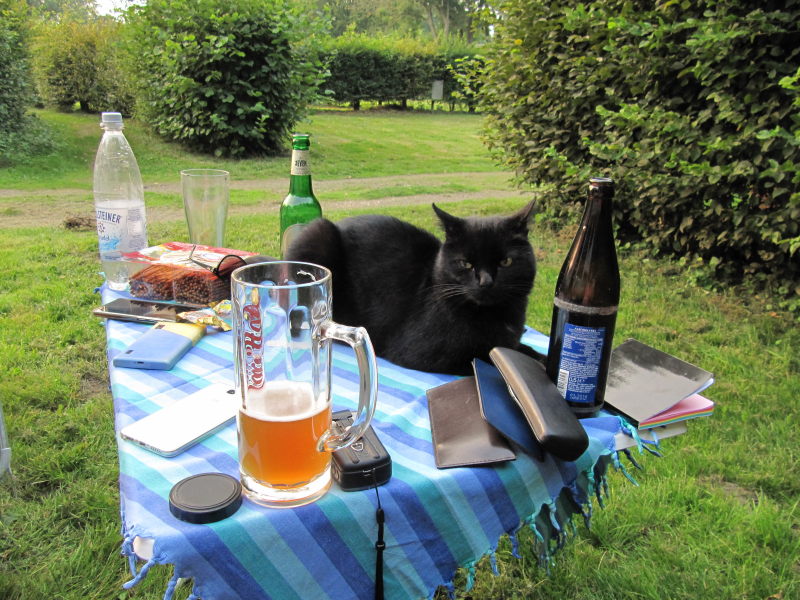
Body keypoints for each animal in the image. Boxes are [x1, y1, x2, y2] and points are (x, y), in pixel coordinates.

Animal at [284, 202, 540, 376]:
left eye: (506, 262)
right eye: (466, 263)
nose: (486, 281)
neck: (494, 315)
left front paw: (536, 356)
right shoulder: (424, 354)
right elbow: (487, 361)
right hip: (317, 234)